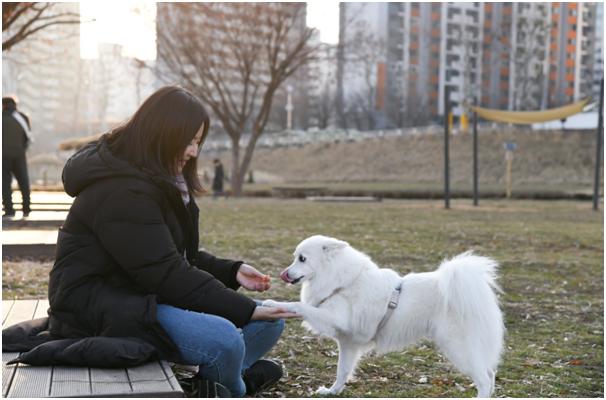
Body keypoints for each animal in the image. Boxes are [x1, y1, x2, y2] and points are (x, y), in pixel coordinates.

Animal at [264, 234, 506, 396]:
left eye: (302, 259)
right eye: (295, 258)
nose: (283, 274)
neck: (341, 281)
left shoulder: (334, 319)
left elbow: (299, 306)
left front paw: (273, 303)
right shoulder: (348, 343)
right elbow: (342, 371)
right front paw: (332, 391)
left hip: (457, 346)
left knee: (484, 379)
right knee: (490, 373)